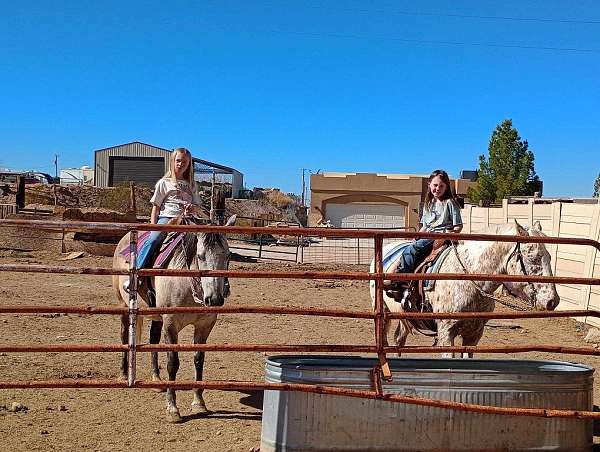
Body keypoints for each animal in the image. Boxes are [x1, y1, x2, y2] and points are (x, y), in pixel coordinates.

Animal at [113, 215, 236, 420]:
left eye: (227, 256)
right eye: (200, 256)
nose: (215, 299)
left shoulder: (205, 325)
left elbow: (198, 360)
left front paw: (199, 403)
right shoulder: (171, 323)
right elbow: (173, 363)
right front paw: (172, 408)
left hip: (156, 315)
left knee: (153, 340)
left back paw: (156, 380)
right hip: (123, 305)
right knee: (124, 336)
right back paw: (123, 375)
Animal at [368, 221, 560, 358]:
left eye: (549, 257)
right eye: (533, 258)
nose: (553, 301)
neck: (468, 280)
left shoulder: (474, 334)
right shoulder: (446, 333)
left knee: (399, 340)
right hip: (382, 312)